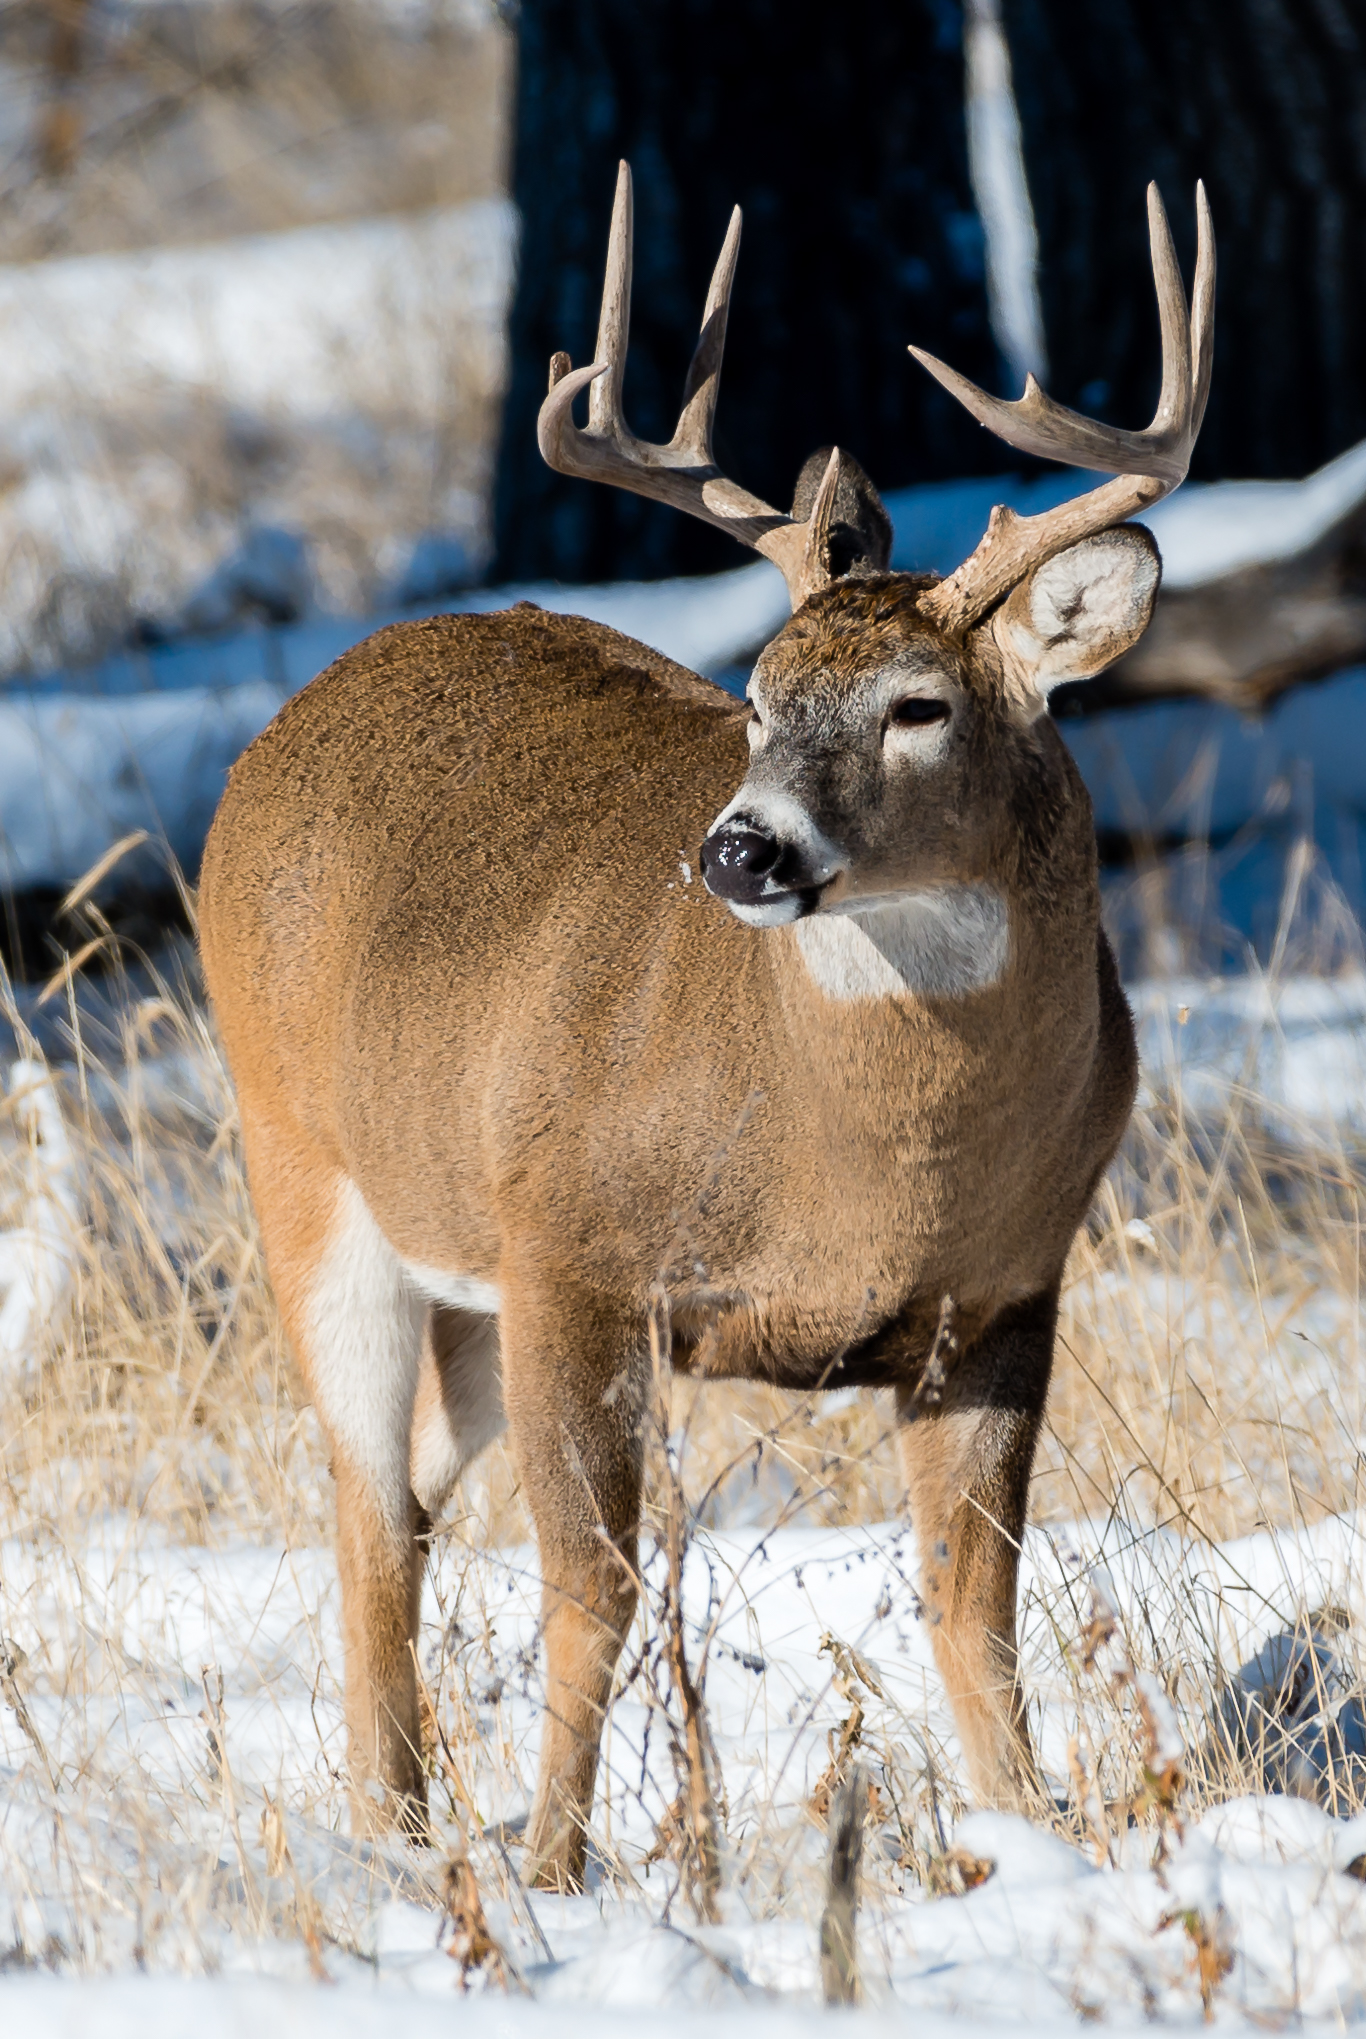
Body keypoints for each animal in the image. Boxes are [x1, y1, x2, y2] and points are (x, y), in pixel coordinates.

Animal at [197, 163, 1215, 1892]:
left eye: (918, 704)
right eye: (751, 694)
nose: (739, 849)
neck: (857, 1163)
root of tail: (302, 706)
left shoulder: (1005, 1289)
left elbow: (974, 1602)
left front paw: (1035, 1842)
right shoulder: (576, 1250)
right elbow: (592, 1586)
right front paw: (553, 1871)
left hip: (464, 1275)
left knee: (408, 1485)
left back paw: (402, 1821)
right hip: (308, 1168)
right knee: (363, 1492)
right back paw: (396, 1833)